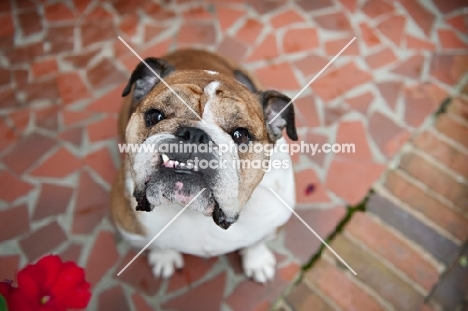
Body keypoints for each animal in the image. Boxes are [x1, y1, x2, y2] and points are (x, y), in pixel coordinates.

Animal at [111, 48, 298, 282]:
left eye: (240, 134)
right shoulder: (132, 233)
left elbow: (258, 241)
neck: (191, 210)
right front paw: (163, 257)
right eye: (155, 116)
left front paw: (258, 260)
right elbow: (156, 245)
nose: (194, 133)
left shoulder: (273, 221)